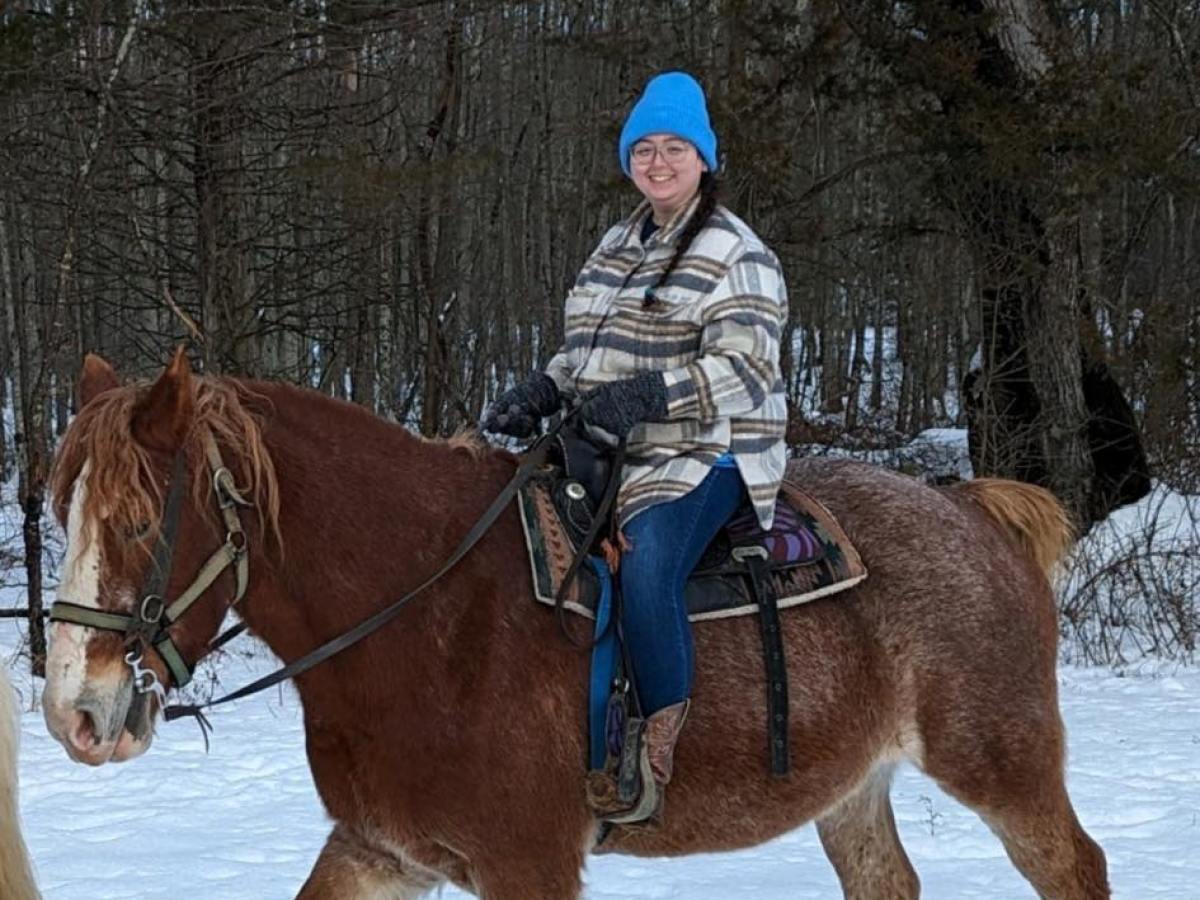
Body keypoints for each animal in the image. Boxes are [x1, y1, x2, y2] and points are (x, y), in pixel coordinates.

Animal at [41, 349, 1109, 899]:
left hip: (1002, 762)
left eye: (140, 521)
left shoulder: (529, 865)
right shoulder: (379, 852)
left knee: (1074, 866)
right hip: (852, 789)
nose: (75, 715)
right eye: (64, 513)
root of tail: (973, 512)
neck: (427, 621)